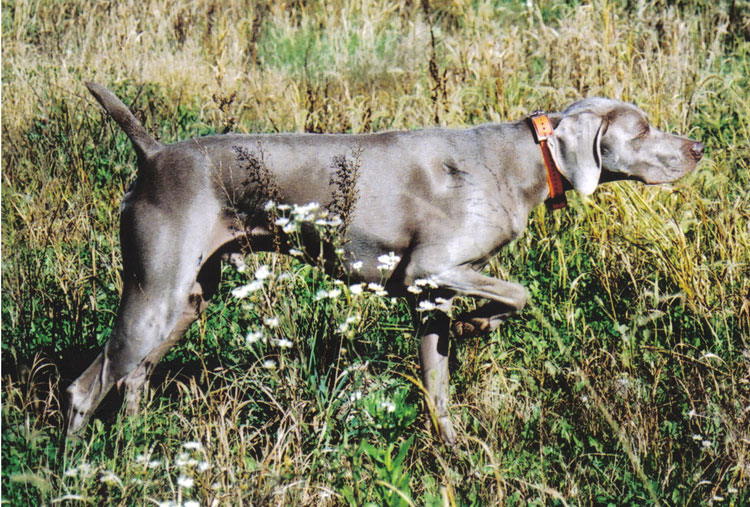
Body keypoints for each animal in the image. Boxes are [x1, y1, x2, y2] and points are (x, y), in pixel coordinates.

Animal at [66, 81, 704, 442]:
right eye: (643, 129)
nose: (698, 147)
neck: (521, 160)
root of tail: (153, 155)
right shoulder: (429, 270)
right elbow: (520, 293)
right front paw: (479, 324)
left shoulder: (431, 298)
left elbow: (440, 391)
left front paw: (456, 453)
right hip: (156, 292)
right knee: (84, 389)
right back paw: (77, 471)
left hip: (188, 299)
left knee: (133, 377)